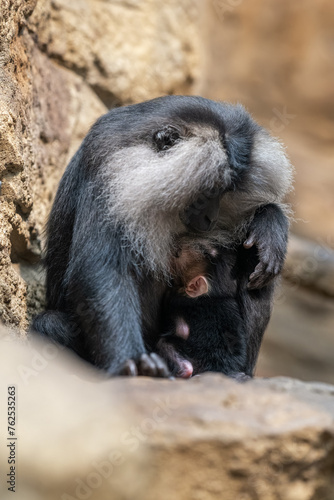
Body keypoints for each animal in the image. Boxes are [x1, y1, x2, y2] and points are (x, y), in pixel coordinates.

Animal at [31, 94, 292, 376]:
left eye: (228, 191)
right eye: (211, 189)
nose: (210, 219)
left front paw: (270, 222)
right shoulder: (108, 176)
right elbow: (100, 269)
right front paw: (133, 361)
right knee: (49, 324)